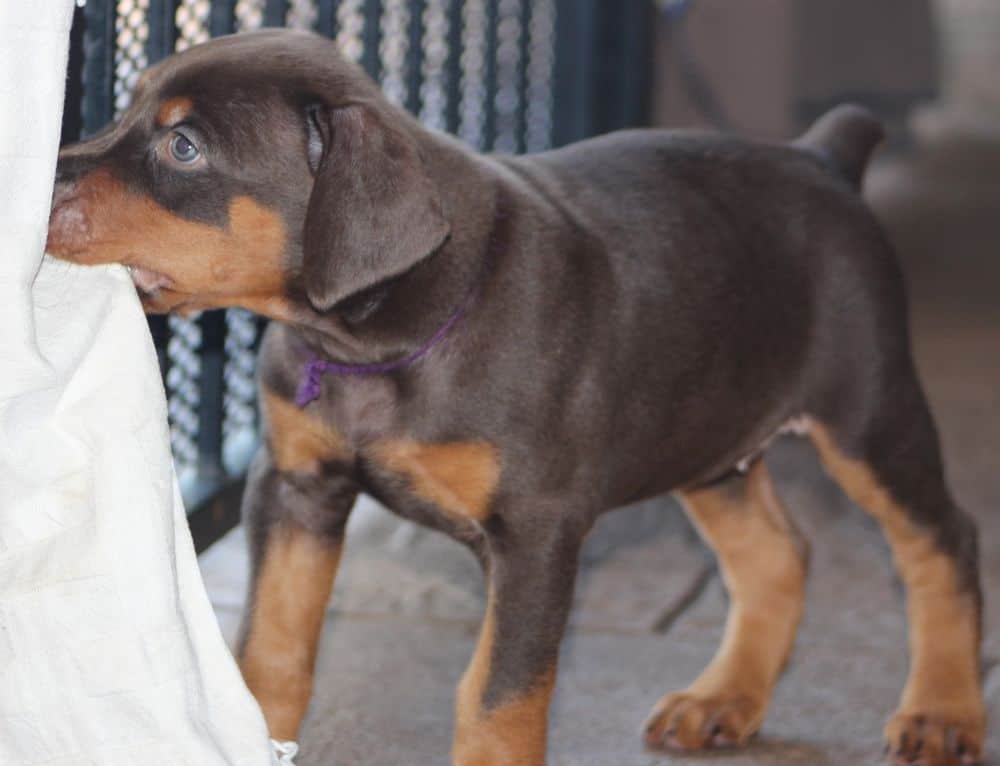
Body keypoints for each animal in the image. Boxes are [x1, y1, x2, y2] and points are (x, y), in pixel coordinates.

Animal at [48, 28, 984, 766]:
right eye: (127, 107)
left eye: (184, 148)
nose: (36, 186)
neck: (369, 342)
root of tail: (822, 156)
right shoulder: (295, 486)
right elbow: (272, 649)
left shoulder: (537, 529)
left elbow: (498, 695)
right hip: (708, 431)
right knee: (776, 554)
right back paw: (721, 702)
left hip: (866, 413)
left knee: (941, 541)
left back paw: (942, 712)